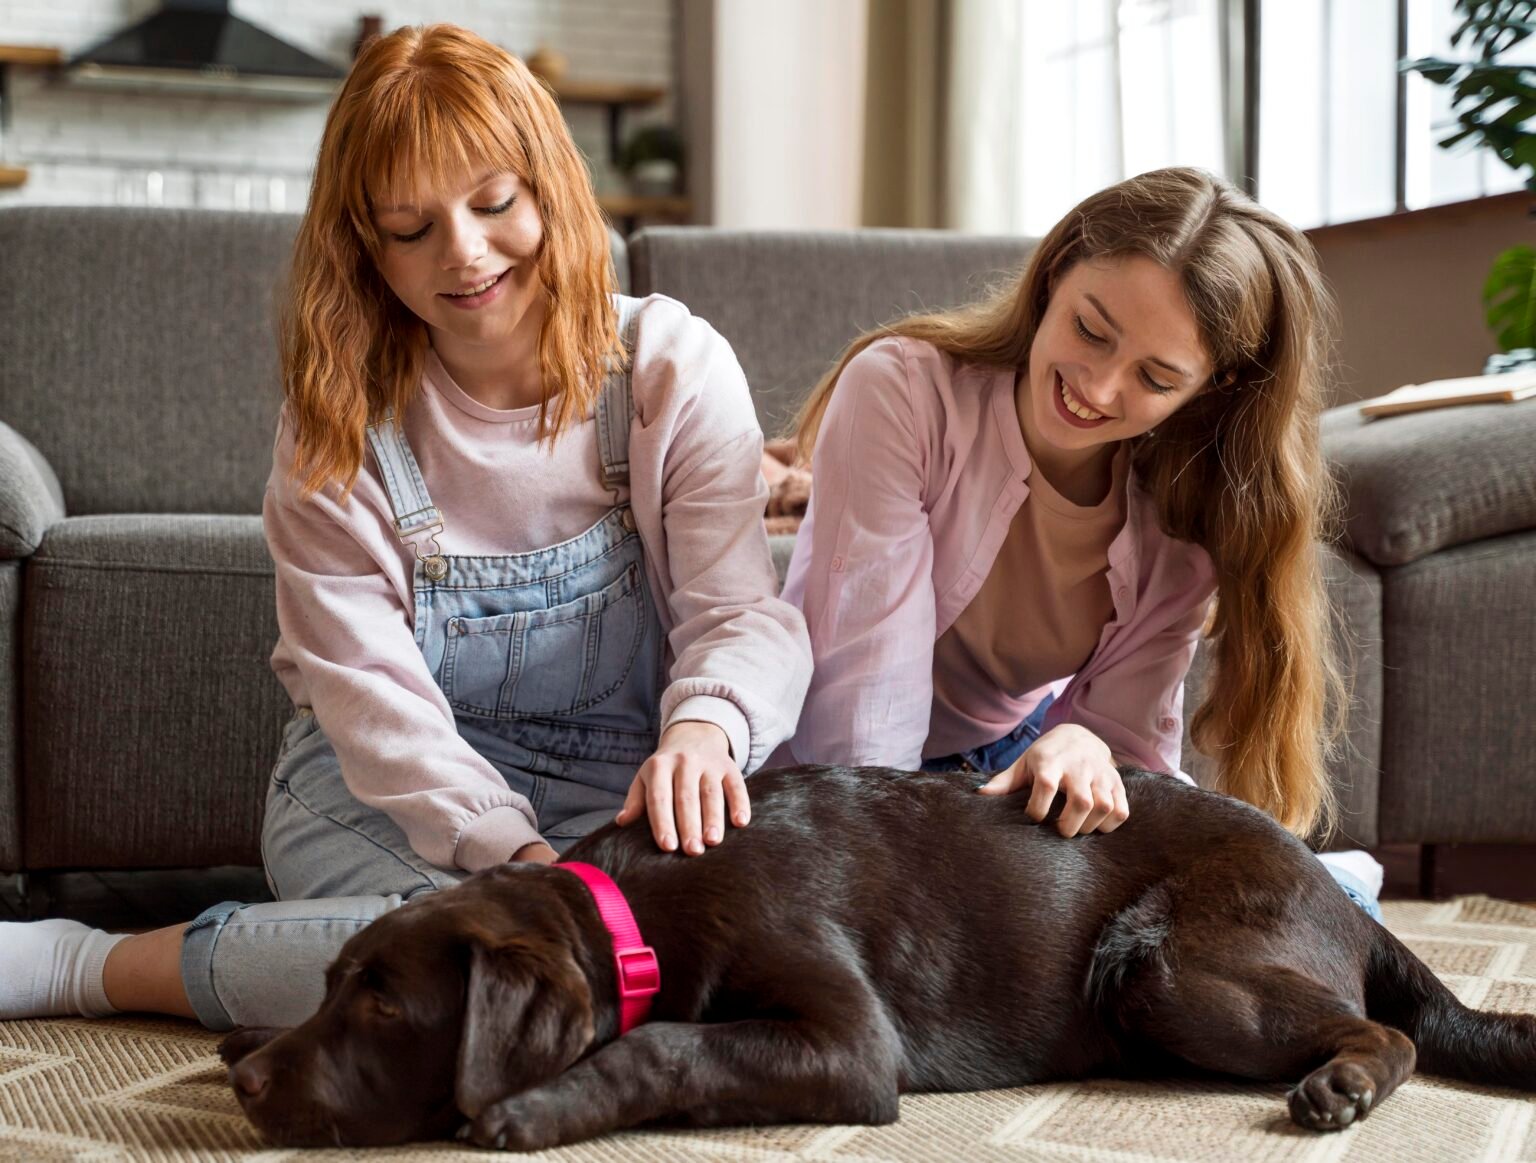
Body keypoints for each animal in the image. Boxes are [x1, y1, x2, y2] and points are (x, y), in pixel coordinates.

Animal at [219, 768, 1536, 1149]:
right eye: (334, 984)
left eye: (385, 1003)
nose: (245, 1079)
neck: (634, 914)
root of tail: (1335, 886)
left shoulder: (849, 1041)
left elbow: (670, 1043)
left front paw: (536, 1104)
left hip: (1162, 964)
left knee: (1389, 1028)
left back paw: (1342, 1083)